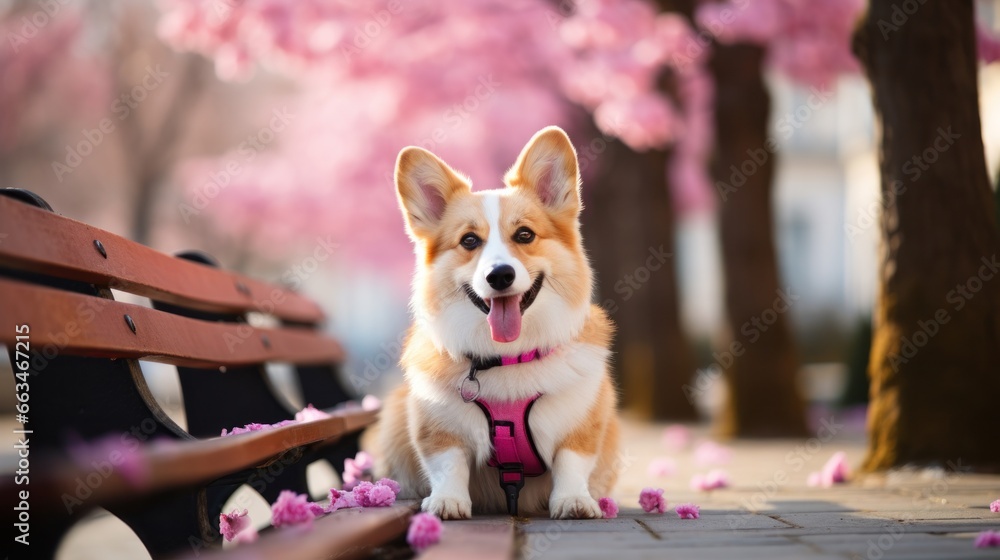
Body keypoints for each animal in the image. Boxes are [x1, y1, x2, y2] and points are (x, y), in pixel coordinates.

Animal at [378, 127, 620, 520]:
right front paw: (448, 501)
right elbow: (448, 463)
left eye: (524, 235)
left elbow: (572, 460)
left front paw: (573, 500)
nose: (500, 275)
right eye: (469, 240)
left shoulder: (584, 421)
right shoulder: (436, 427)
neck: (508, 357)